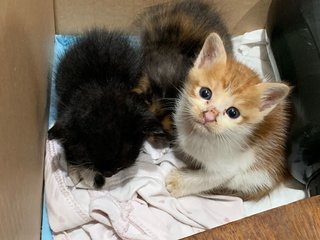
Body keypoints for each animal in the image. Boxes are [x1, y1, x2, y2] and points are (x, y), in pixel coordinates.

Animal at [48, 29, 164, 188]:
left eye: (122, 162)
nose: (109, 173)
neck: (102, 83)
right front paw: (76, 170)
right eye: (88, 156)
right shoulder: (65, 110)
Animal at [166, 32, 292, 201]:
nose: (209, 115)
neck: (199, 134)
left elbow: (207, 179)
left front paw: (178, 183)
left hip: (252, 178)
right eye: (205, 93)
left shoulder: (231, 167)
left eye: (233, 113)